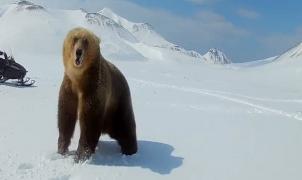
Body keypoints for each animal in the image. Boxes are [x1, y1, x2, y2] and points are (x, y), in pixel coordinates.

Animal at [57, 27, 137, 162]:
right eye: (75, 38)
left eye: (86, 41)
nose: (79, 52)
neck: (79, 80)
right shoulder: (69, 88)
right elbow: (66, 116)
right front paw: (62, 149)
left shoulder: (94, 89)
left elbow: (89, 120)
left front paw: (81, 155)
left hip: (119, 100)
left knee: (125, 125)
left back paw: (130, 150)